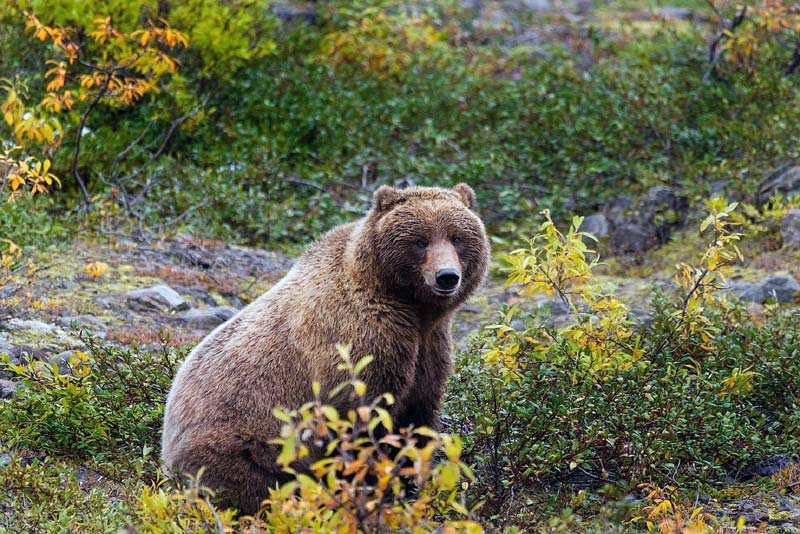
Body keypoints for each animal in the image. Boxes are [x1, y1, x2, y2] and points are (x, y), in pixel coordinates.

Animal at [160, 183, 490, 514]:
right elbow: (361, 419)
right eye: (420, 240)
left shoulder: (429, 347)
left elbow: (417, 418)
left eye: (457, 237)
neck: (409, 306)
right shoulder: (359, 340)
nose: (446, 276)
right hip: (243, 441)